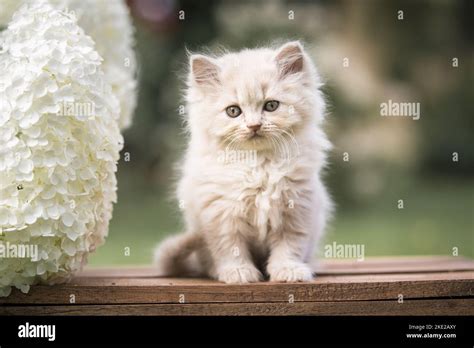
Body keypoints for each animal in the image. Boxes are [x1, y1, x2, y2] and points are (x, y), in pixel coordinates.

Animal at [154, 42, 332, 284]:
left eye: (271, 106)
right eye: (233, 111)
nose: (254, 126)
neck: (258, 164)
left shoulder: (297, 208)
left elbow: (289, 246)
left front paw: (288, 270)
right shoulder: (221, 213)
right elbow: (231, 248)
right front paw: (239, 273)